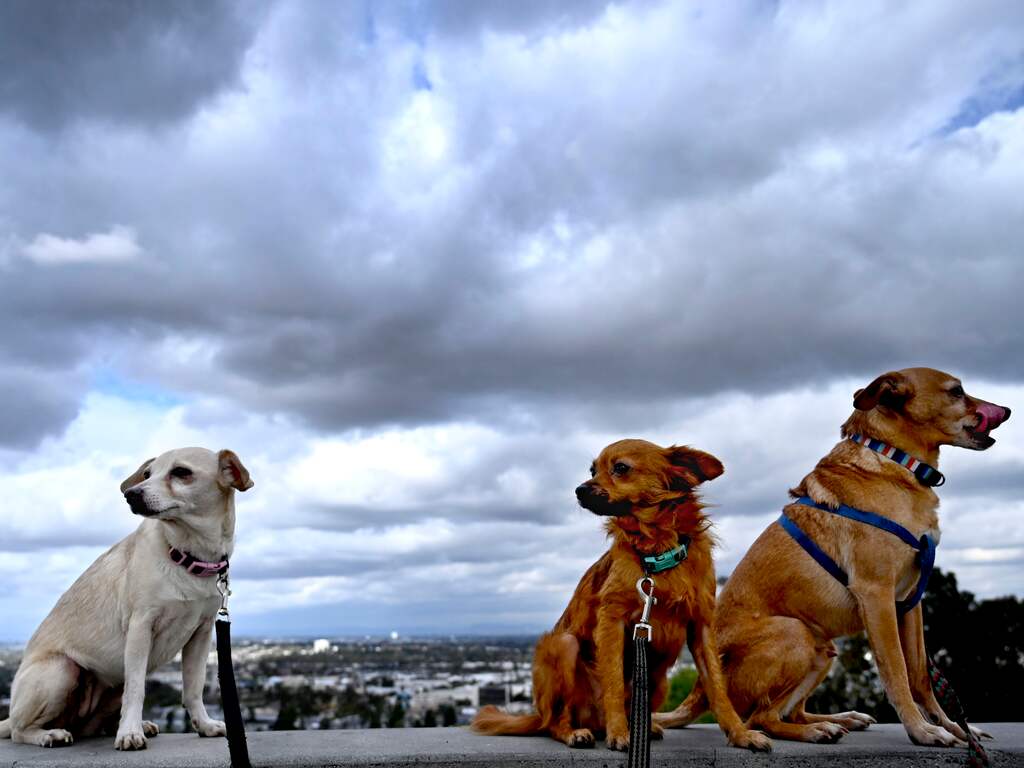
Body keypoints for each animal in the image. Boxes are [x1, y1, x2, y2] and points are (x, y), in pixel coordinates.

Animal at [0, 448, 253, 749]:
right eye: (147, 474)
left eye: (181, 472)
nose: (131, 494)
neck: (185, 552)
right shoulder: (140, 627)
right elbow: (136, 689)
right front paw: (129, 733)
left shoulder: (201, 634)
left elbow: (193, 687)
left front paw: (203, 724)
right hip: (62, 669)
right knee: (18, 730)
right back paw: (50, 734)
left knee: (94, 724)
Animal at [473, 439, 771, 752]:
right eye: (592, 470)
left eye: (620, 468)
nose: (579, 489)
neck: (657, 553)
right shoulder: (611, 621)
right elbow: (614, 682)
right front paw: (619, 733)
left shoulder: (700, 626)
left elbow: (717, 686)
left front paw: (740, 734)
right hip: (565, 647)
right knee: (555, 721)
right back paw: (577, 732)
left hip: (659, 680)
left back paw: (642, 728)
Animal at [656, 368, 1010, 747]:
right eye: (956, 391)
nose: (1007, 410)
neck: (893, 460)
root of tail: (702, 689)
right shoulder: (877, 595)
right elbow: (896, 671)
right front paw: (922, 730)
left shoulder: (910, 603)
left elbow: (920, 675)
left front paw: (954, 727)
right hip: (795, 633)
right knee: (762, 718)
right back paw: (816, 730)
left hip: (823, 649)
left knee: (786, 712)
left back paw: (837, 719)